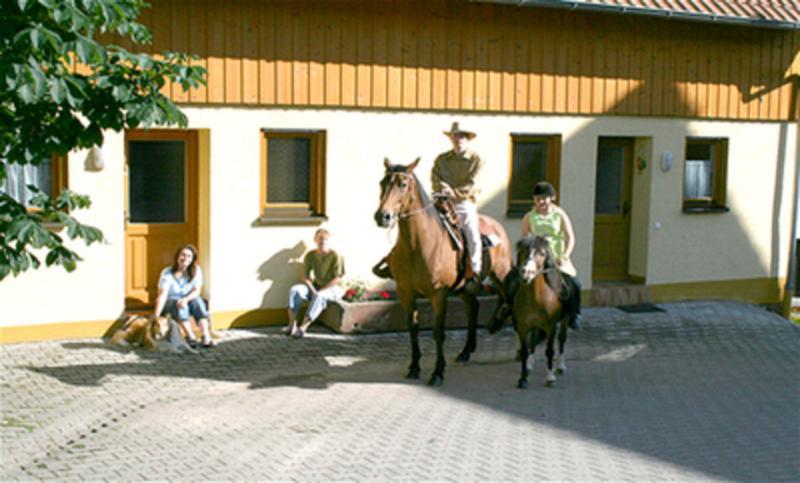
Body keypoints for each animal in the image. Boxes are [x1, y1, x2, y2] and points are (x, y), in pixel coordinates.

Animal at [376, 158, 512, 386]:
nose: (382, 217)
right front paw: (414, 367)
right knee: (473, 307)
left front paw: (438, 372)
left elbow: (438, 332)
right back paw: (466, 351)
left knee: (511, 296)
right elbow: (412, 327)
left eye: (403, 184)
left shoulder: (438, 294)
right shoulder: (405, 292)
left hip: (501, 274)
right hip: (466, 286)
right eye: (382, 183)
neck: (418, 245)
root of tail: (498, 227)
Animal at [512, 234, 568, 390]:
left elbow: (549, 350)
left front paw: (550, 378)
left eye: (542, 254)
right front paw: (523, 378)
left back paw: (560, 366)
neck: (535, 298)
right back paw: (530, 365)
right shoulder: (523, 327)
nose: (526, 273)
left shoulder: (551, 326)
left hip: (565, 321)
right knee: (533, 342)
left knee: (561, 340)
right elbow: (524, 352)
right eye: (523, 250)